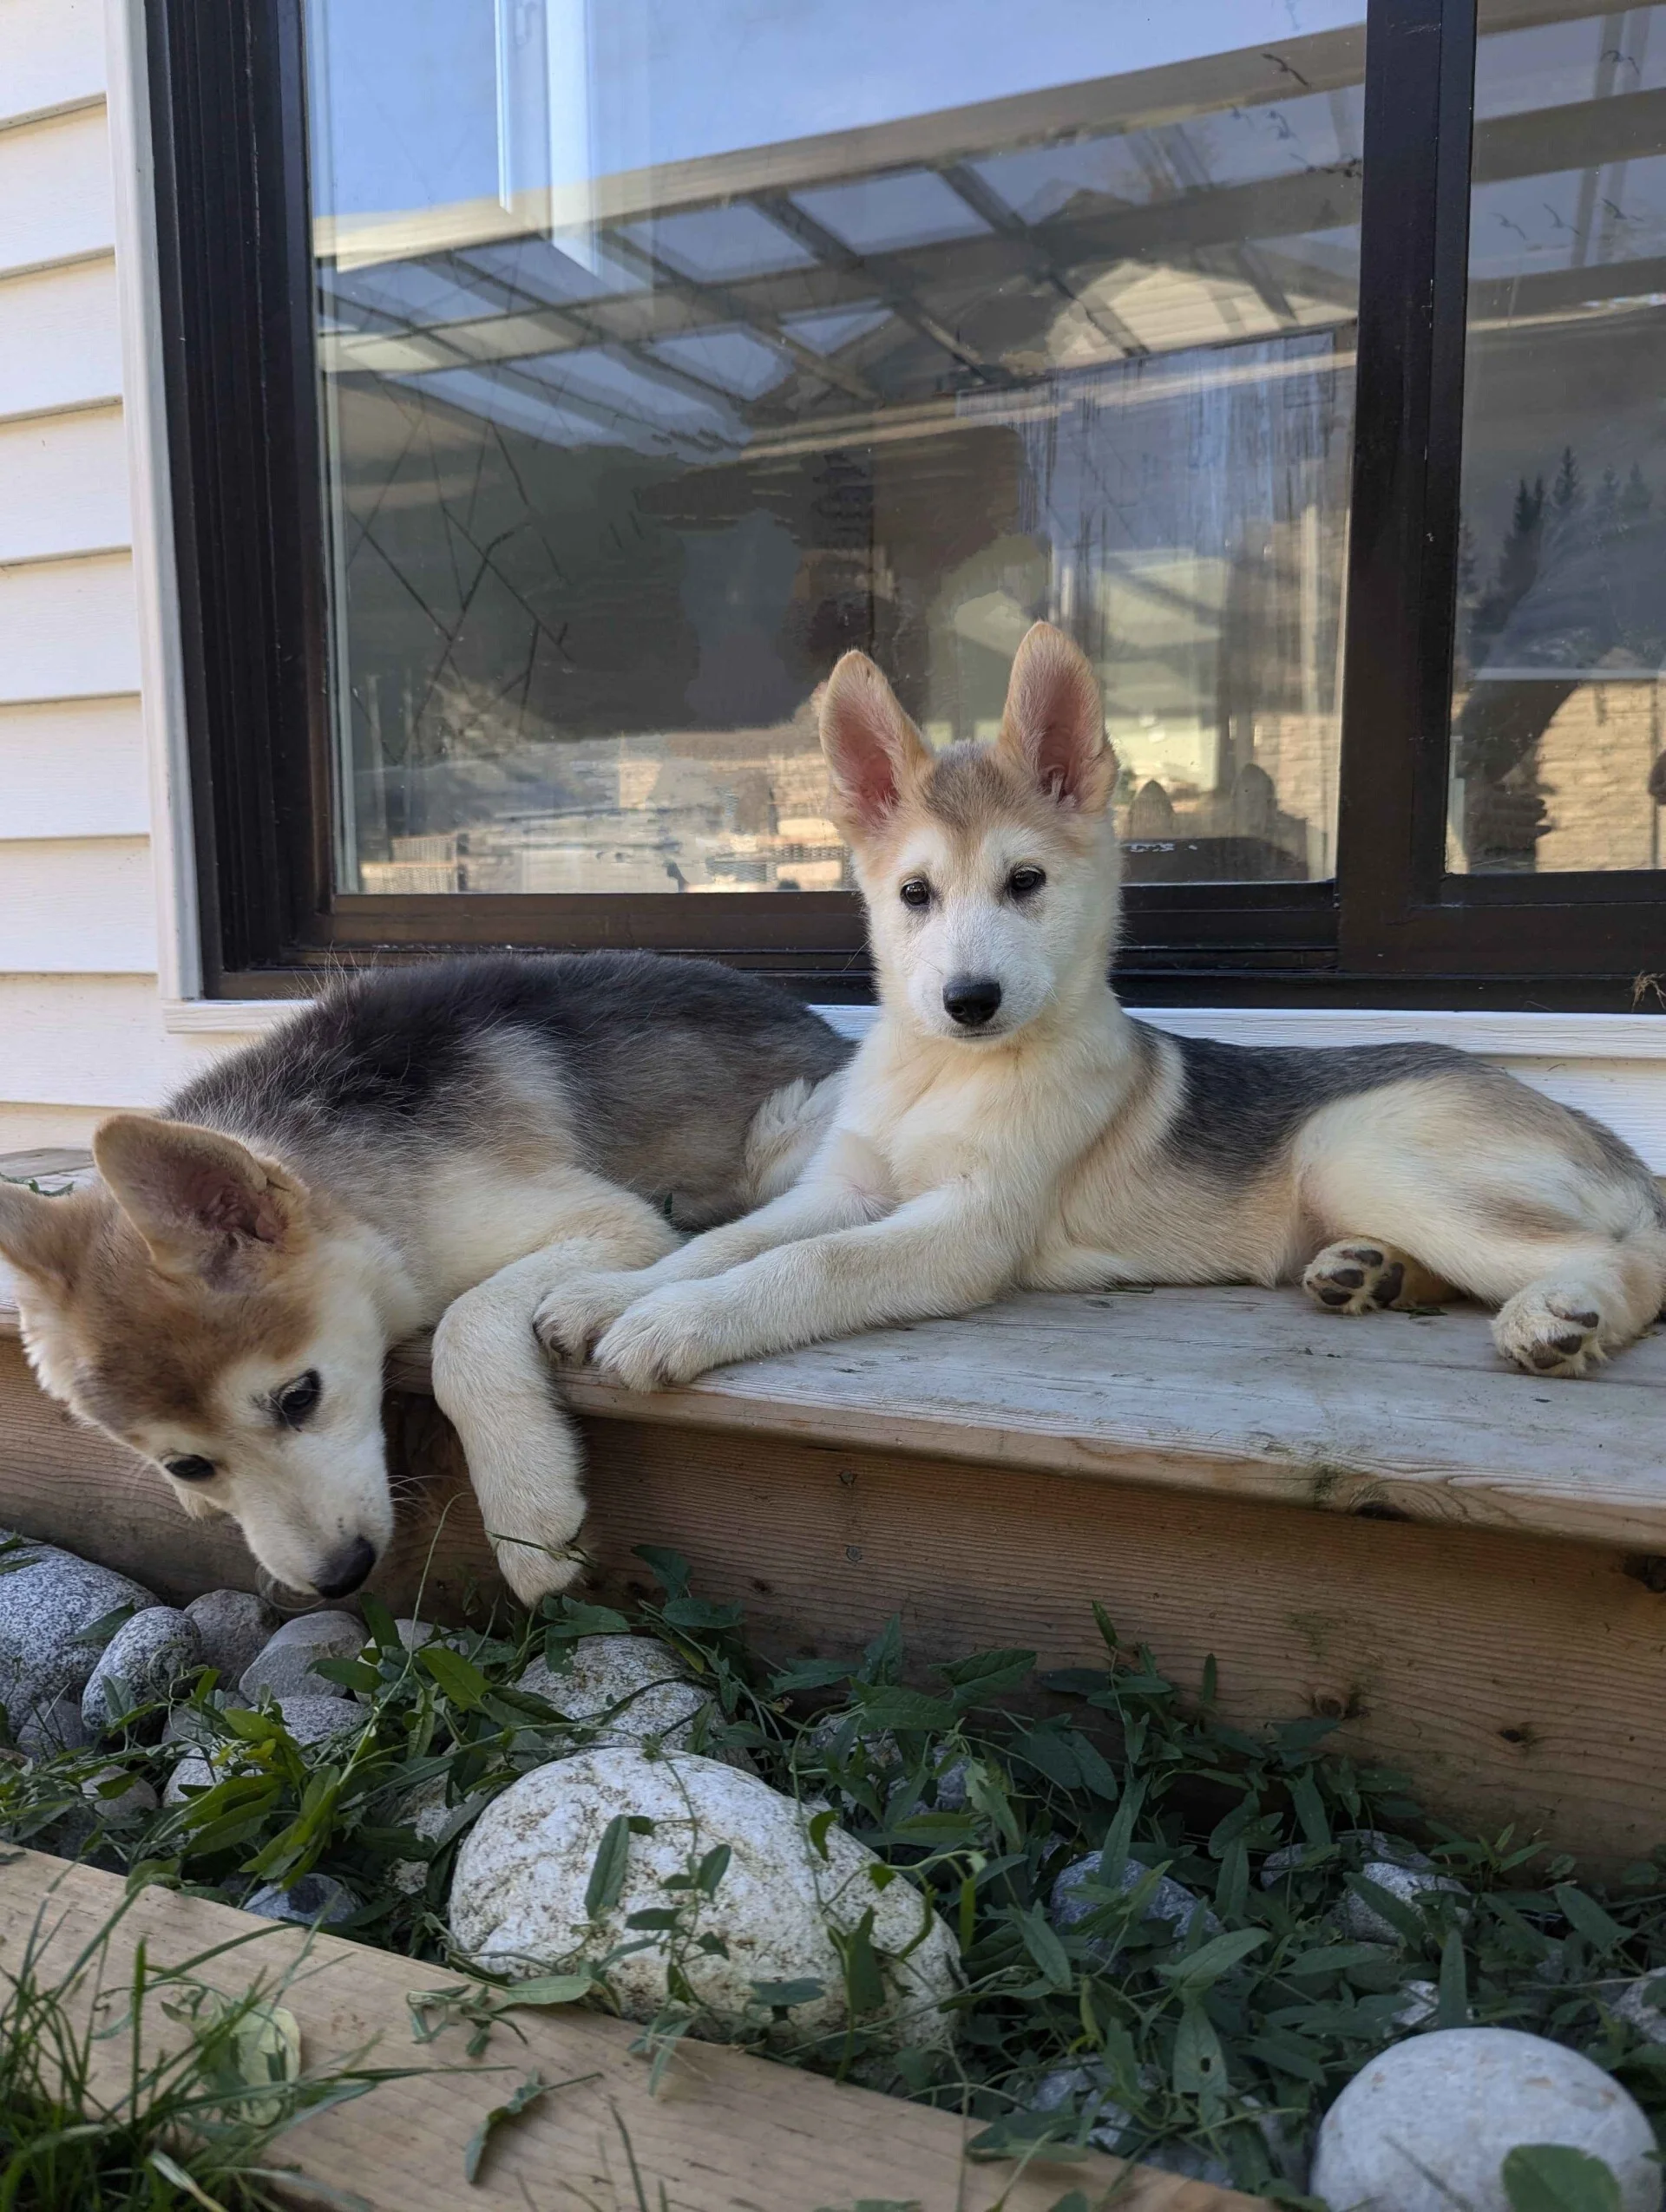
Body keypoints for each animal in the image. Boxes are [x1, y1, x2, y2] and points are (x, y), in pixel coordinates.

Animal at [541, 624, 1663, 1380]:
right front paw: (609, 1293)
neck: (946, 1072)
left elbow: (804, 1269)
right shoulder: (844, 1189)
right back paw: (1368, 1273)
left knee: (1620, 1261)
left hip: (1362, 1146)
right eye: (915, 894)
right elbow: (726, 1242)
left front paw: (674, 1323)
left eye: (1027, 882)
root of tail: (1598, 1134)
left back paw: (1556, 1315)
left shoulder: (967, 1228)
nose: (970, 1000)